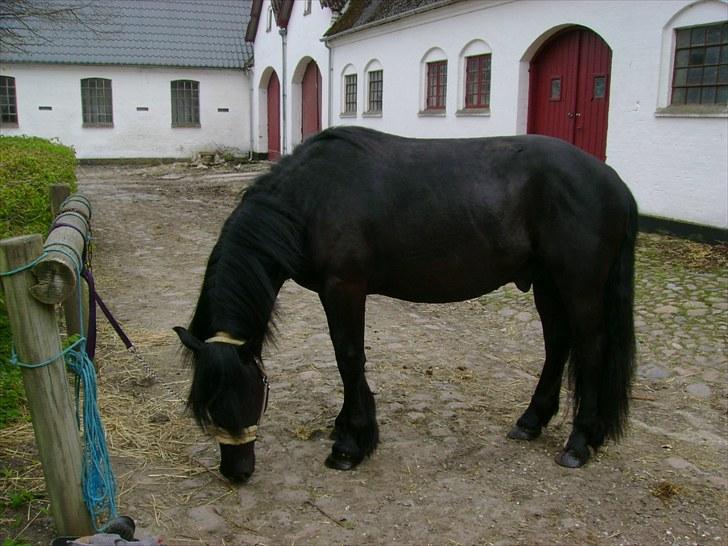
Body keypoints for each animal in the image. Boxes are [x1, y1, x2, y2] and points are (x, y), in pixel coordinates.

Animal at [176, 125, 636, 482]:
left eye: (239, 394)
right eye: (205, 404)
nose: (235, 471)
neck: (311, 197)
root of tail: (612, 180)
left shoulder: (344, 287)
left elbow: (348, 357)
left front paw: (350, 445)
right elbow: (350, 360)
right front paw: (349, 430)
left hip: (578, 286)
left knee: (590, 349)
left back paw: (579, 442)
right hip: (546, 282)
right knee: (558, 344)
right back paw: (531, 422)